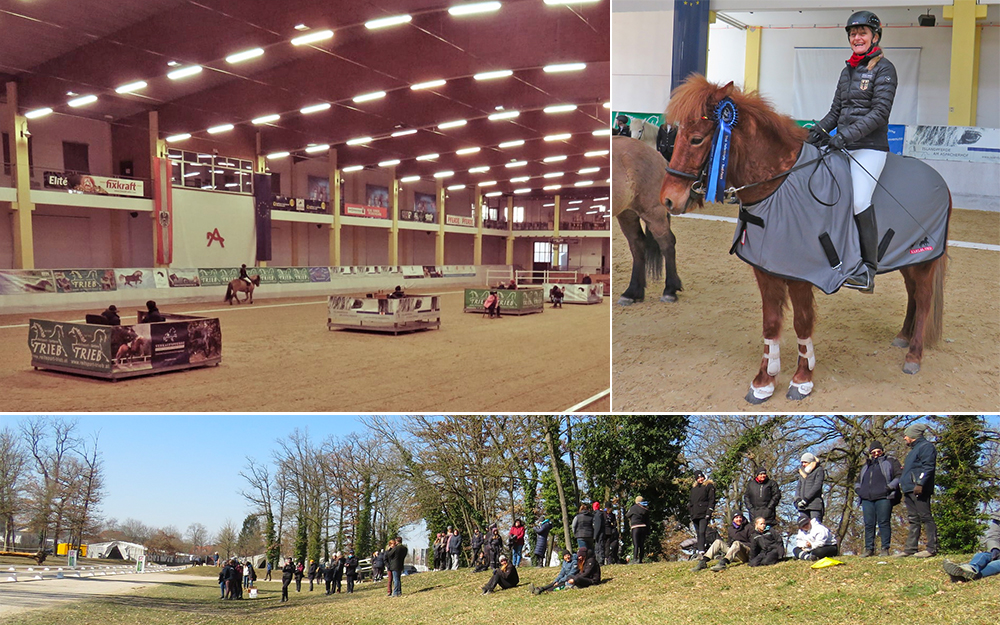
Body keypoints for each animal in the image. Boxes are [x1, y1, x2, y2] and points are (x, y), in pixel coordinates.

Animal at [612, 135, 684, 304]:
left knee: (667, 243)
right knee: (638, 245)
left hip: (653, 213)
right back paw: (631, 293)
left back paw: (669, 291)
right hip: (627, 213)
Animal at [660, 74, 948, 404]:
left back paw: (914, 356)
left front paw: (802, 379)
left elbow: (802, 322)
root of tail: (938, 178)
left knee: (923, 300)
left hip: (924, 259)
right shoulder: (766, 269)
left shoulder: (802, 274)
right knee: (913, 294)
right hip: (909, 259)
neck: (778, 185)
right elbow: (771, 323)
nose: (668, 200)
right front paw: (764, 382)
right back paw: (902, 338)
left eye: (696, 139)